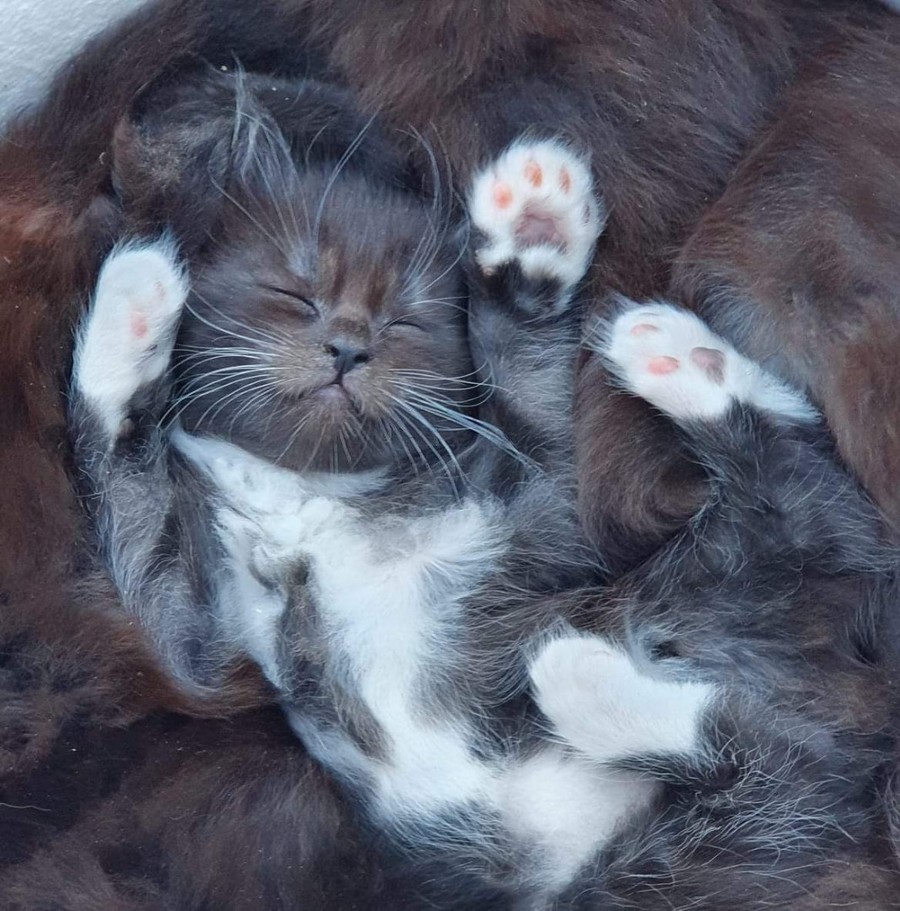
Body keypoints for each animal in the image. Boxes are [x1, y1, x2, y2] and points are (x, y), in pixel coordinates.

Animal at [68, 71, 899, 907]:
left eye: (409, 321)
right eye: (294, 291)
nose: (347, 346)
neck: (313, 501)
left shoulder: (530, 518)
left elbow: (533, 396)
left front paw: (531, 243)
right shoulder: (212, 646)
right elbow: (141, 535)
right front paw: (128, 314)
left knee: (805, 608)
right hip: (679, 846)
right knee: (784, 715)